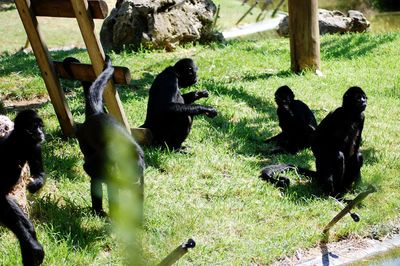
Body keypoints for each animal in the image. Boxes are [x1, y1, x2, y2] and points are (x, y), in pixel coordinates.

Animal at [0, 108, 45, 266]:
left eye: (40, 126)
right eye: (35, 127)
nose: (41, 133)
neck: (19, 145)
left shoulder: (35, 146)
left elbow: (40, 174)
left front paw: (33, 185)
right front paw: (34, 246)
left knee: (29, 227)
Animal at [64, 56, 147, 216]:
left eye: (136, 171)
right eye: (128, 172)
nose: (133, 178)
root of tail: (97, 113)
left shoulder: (141, 168)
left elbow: (139, 194)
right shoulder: (108, 157)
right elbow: (90, 169)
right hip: (85, 142)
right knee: (95, 176)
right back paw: (99, 211)